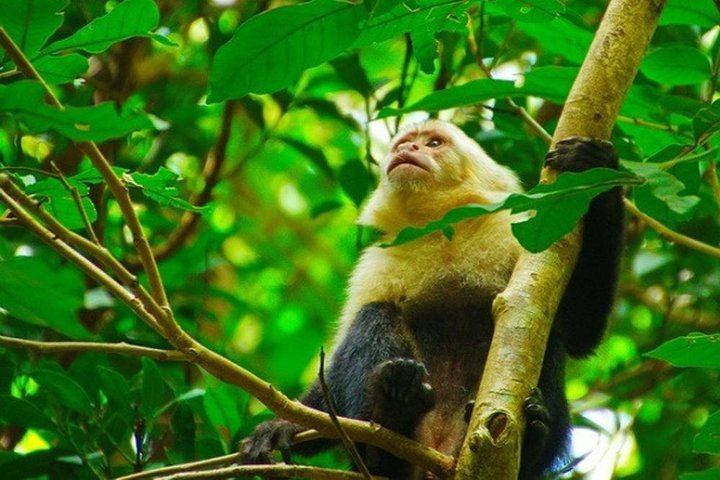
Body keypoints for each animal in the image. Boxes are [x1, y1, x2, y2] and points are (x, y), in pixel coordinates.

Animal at [240, 120, 623, 479]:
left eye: (434, 143)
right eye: (403, 143)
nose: (406, 148)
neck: (441, 228)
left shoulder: (516, 233)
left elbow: (578, 330)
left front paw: (594, 165)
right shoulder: (376, 262)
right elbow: (334, 375)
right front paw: (283, 425)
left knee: (545, 335)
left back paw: (531, 439)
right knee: (374, 314)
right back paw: (391, 412)